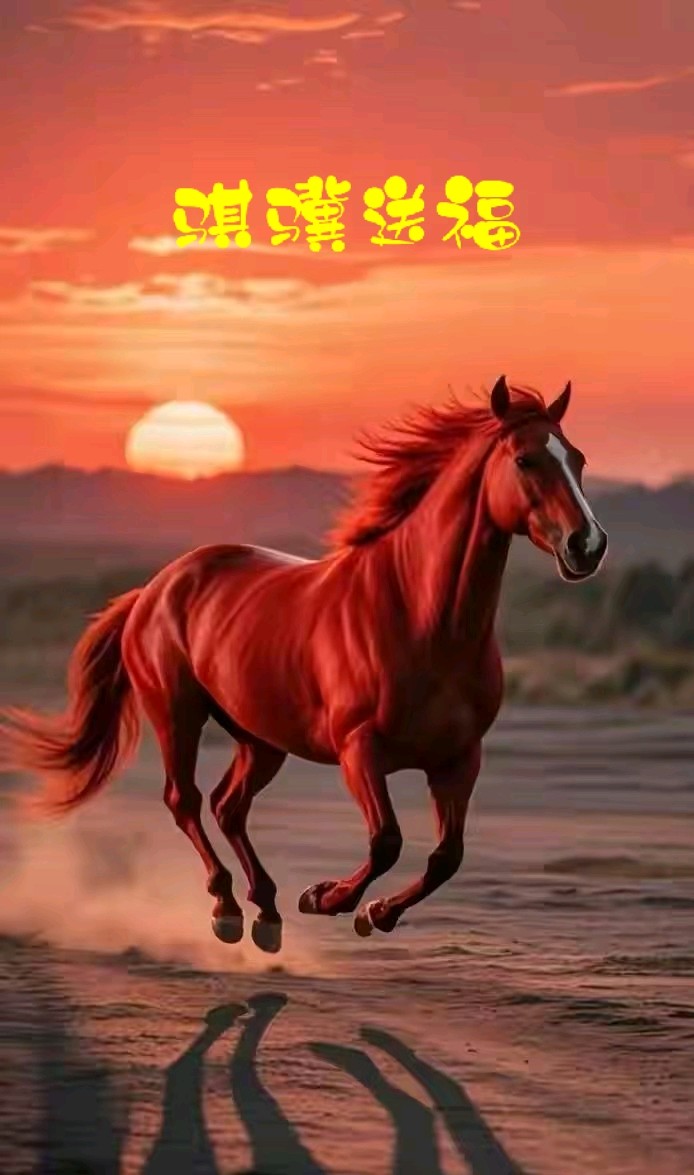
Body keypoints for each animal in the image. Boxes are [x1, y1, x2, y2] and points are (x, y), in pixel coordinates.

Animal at [0, 376, 607, 954]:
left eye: (577, 458)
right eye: (526, 459)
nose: (589, 545)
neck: (420, 615)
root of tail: (155, 587)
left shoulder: (459, 758)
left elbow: (446, 856)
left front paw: (374, 913)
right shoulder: (359, 749)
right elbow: (386, 841)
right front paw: (326, 898)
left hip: (260, 738)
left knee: (228, 806)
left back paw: (266, 914)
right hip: (177, 714)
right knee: (186, 801)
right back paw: (227, 909)